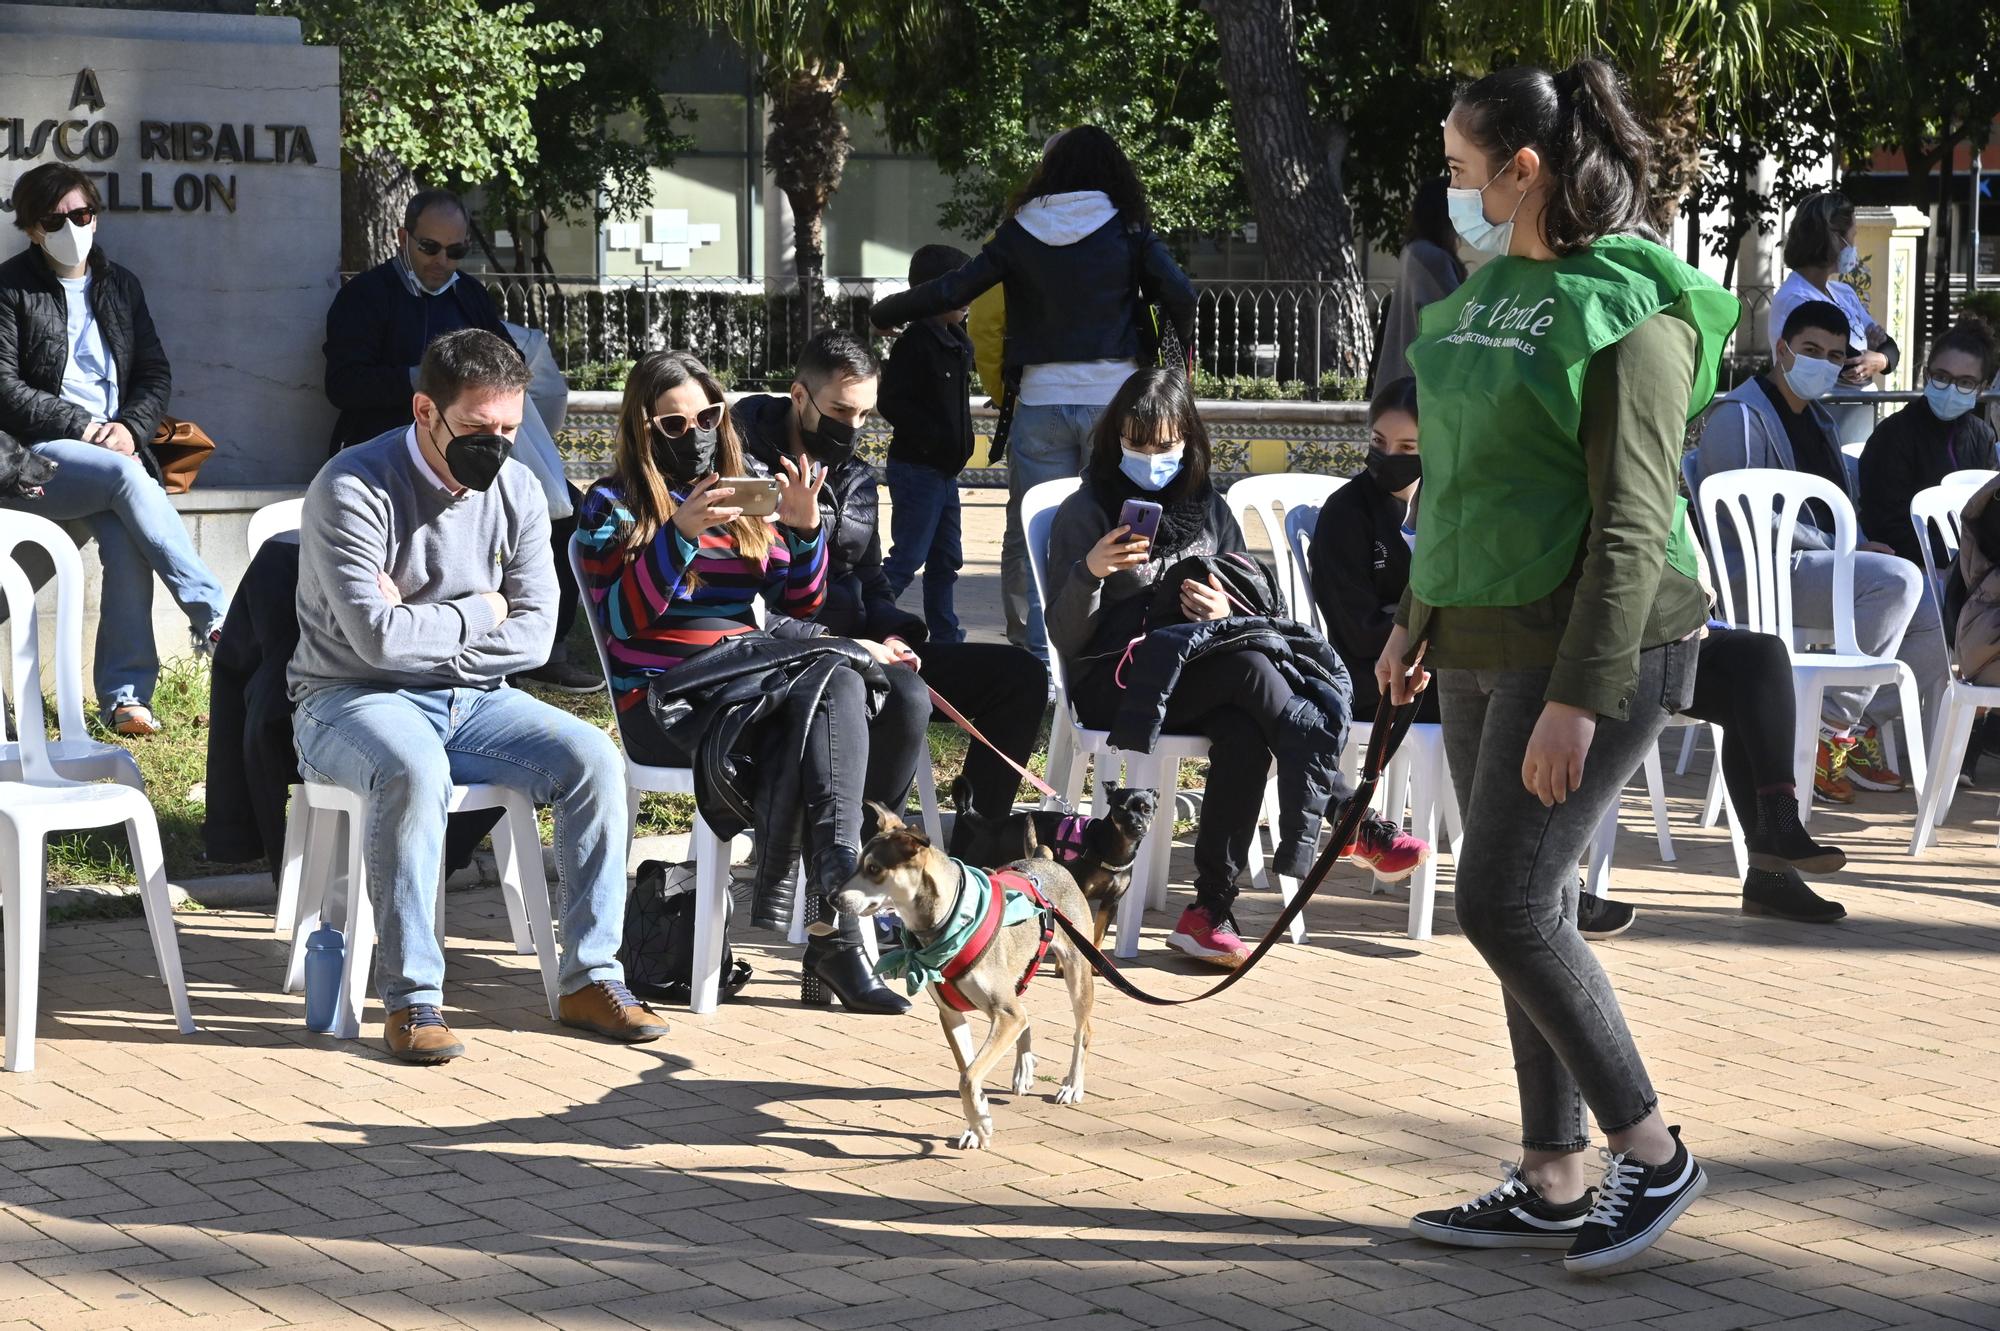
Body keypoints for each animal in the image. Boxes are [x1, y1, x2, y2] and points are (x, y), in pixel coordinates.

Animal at [820, 803, 1096, 1143]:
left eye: (874, 869)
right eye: (858, 864)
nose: (831, 898)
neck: (945, 924)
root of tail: (1045, 859)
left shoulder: (1004, 1014)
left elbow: (968, 1076)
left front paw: (979, 1123)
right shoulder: (954, 1015)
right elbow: (968, 1073)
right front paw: (978, 1124)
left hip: (1076, 971)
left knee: (1082, 1031)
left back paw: (1072, 1085)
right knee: (1026, 1016)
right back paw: (1023, 1070)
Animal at [948, 771, 1168, 947]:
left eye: (1147, 810)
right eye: (1121, 809)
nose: (1137, 825)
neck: (1112, 848)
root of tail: (988, 825)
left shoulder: (1111, 903)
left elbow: (1097, 936)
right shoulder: (1079, 895)